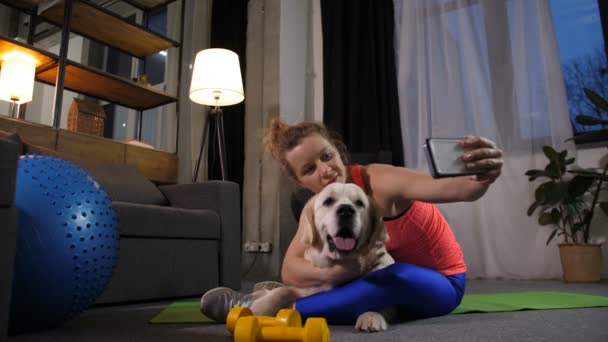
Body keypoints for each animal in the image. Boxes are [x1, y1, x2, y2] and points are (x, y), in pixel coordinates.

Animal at [252, 183, 394, 332]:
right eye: (328, 201)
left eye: (359, 203)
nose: (346, 210)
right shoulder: (306, 289)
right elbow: (283, 291)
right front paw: (259, 308)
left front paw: (371, 315)